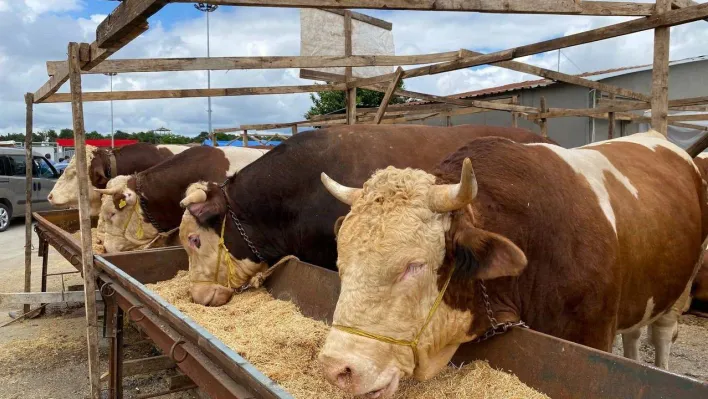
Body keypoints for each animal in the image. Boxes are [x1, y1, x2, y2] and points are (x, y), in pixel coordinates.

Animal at [320, 131, 704, 396]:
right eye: (341, 260)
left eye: (413, 266)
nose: (337, 368)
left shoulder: (593, 335)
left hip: (681, 286)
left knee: (661, 333)